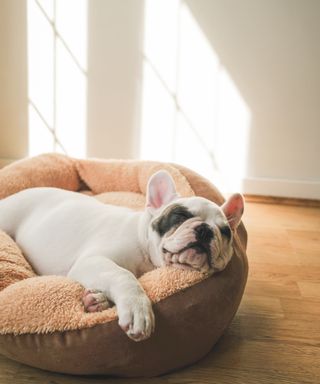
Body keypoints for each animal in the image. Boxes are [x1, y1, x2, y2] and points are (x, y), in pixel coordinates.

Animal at [0, 171, 244, 342]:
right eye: (179, 216)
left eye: (225, 232)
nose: (205, 230)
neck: (145, 250)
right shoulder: (94, 261)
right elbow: (123, 275)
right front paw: (138, 310)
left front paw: (97, 300)